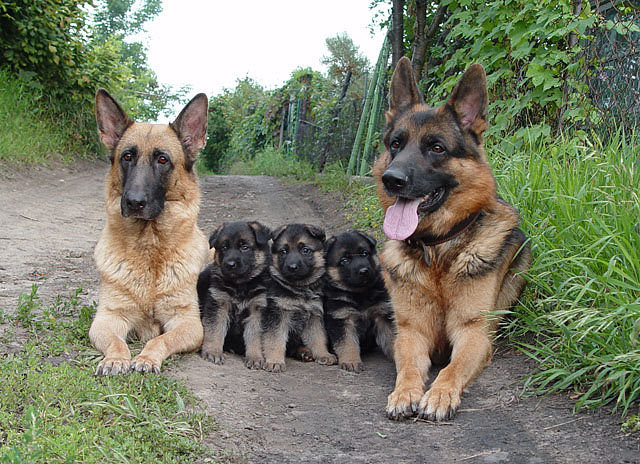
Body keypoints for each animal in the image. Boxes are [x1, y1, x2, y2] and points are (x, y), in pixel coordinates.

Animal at [90, 89, 209, 375]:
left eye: (162, 159)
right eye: (127, 157)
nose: (134, 202)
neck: (149, 247)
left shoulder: (189, 323)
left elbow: (160, 339)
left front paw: (146, 358)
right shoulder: (106, 318)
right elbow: (115, 341)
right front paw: (116, 358)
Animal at [197, 221, 271, 369]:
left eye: (244, 247)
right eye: (224, 247)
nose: (230, 264)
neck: (240, 285)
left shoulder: (257, 309)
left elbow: (255, 336)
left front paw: (255, 357)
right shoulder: (218, 304)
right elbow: (215, 330)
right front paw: (213, 352)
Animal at [261, 223, 337, 372]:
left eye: (305, 250)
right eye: (283, 251)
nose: (292, 267)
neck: (299, 288)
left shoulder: (314, 315)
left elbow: (318, 337)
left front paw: (323, 354)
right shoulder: (277, 314)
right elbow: (275, 339)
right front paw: (275, 361)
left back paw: (304, 352)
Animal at [323, 230, 395, 372]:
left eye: (364, 253)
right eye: (344, 260)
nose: (364, 271)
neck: (360, 294)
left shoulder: (382, 314)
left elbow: (391, 338)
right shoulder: (342, 318)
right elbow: (347, 343)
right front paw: (351, 361)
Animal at [373, 57, 531, 421]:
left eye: (436, 147)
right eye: (396, 144)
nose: (392, 179)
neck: (438, 250)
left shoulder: (473, 333)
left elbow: (452, 368)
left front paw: (440, 394)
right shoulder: (412, 332)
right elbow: (408, 367)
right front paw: (405, 392)